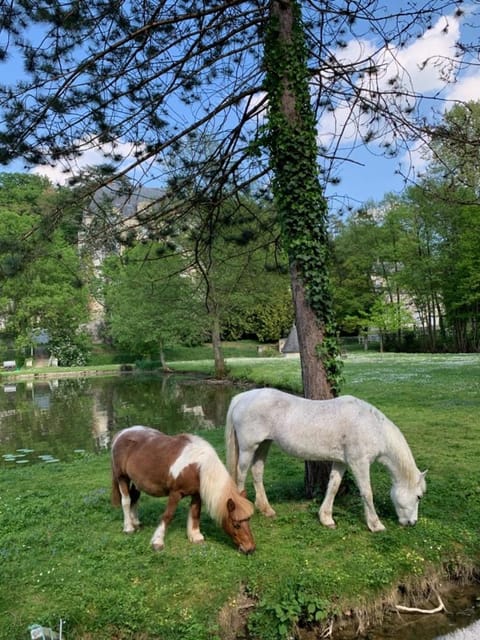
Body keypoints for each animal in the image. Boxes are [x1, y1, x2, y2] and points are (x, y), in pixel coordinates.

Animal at [111, 424, 256, 556]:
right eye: (236, 524)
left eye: (248, 520)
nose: (250, 548)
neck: (198, 467)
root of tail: (121, 433)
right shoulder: (175, 493)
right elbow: (168, 515)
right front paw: (157, 542)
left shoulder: (197, 494)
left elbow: (195, 513)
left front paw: (195, 536)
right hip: (122, 478)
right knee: (126, 501)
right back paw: (128, 527)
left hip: (136, 482)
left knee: (134, 499)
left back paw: (136, 522)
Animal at [225, 388, 428, 532]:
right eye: (418, 496)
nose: (412, 522)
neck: (372, 426)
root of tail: (241, 397)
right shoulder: (359, 463)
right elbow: (366, 492)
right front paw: (375, 525)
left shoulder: (342, 462)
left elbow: (333, 487)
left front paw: (326, 519)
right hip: (248, 448)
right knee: (241, 474)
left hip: (264, 445)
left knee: (257, 472)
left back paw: (266, 509)